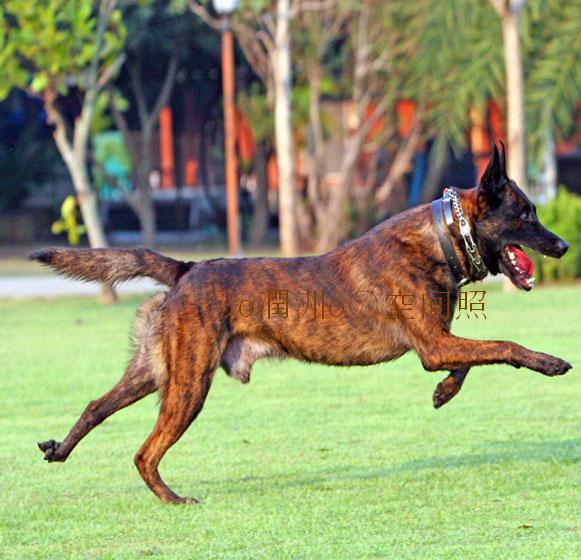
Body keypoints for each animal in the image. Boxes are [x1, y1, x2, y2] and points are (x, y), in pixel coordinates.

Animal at [32, 144, 572, 504]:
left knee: (96, 406)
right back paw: (172, 499)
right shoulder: (435, 344)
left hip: (156, 371)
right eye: (527, 214)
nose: (564, 245)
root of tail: (187, 268)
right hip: (188, 385)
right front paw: (549, 361)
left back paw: (60, 448)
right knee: (144, 452)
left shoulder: (439, 342)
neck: (440, 236)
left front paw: (443, 392)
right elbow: (503, 345)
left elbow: (469, 362)